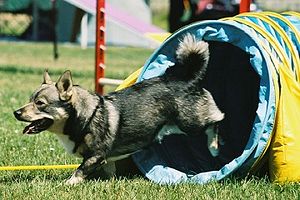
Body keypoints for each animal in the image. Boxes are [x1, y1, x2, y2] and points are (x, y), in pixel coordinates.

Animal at [14, 34, 225, 184]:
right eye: (29, 100)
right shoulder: (106, 159)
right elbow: (110, 171)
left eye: (40, 103)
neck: (85, 117)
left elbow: (79, 170)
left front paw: (67, 184)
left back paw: (214, 147)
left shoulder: (95, 155)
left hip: (191, 122)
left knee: (216, 120)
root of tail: (187, 79)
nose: (16, 113)